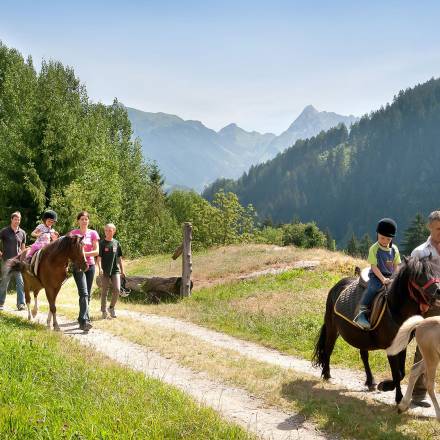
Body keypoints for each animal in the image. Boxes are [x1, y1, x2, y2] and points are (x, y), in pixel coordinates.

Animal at [312, 256, 440, 404]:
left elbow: (401, 372)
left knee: (364, 356)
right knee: (328, 349)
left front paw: (385, 386)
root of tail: (337, 286)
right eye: (418, 276)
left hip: (360, 336)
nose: (438, 291)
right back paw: (327, 374)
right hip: (332, 328)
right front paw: (396, 396)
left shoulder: (402, 345)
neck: (395, 310)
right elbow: (396, 373)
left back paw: (370, 381)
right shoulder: (391, 348)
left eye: (435, 271)